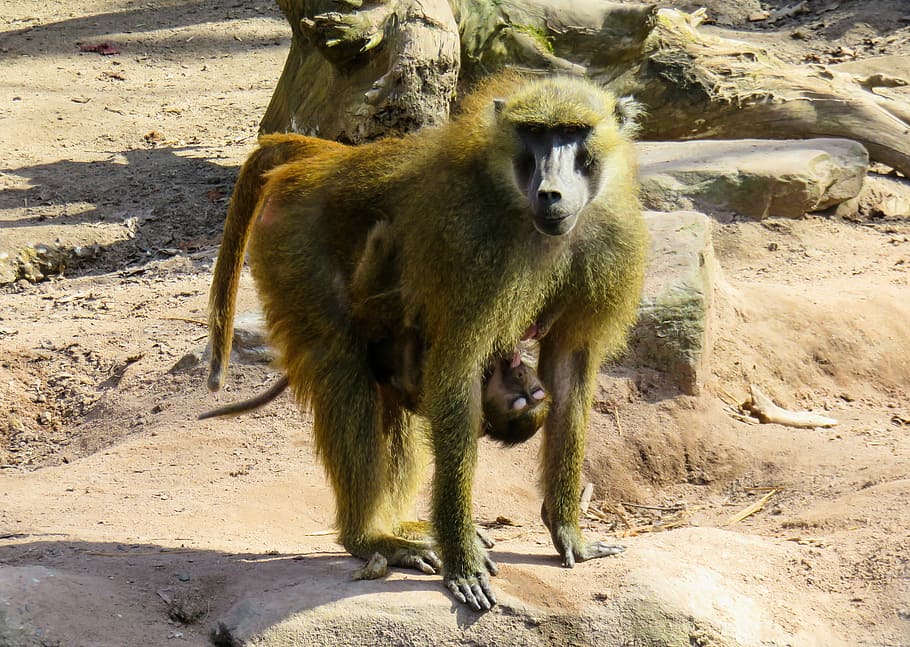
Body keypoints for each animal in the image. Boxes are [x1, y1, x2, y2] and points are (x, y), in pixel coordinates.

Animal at [206, 74, 648, 611]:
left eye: (573, 133)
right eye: (536, 133)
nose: (550, 194)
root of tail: (329, 160)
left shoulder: (608, 244)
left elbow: (567, 370)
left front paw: (568, 533)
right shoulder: (471, 249)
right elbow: (456, 371)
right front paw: (463, 561)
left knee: (386, 400)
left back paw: (402, 527)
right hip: (294, 244)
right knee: (343, 373)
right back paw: (370, 539)